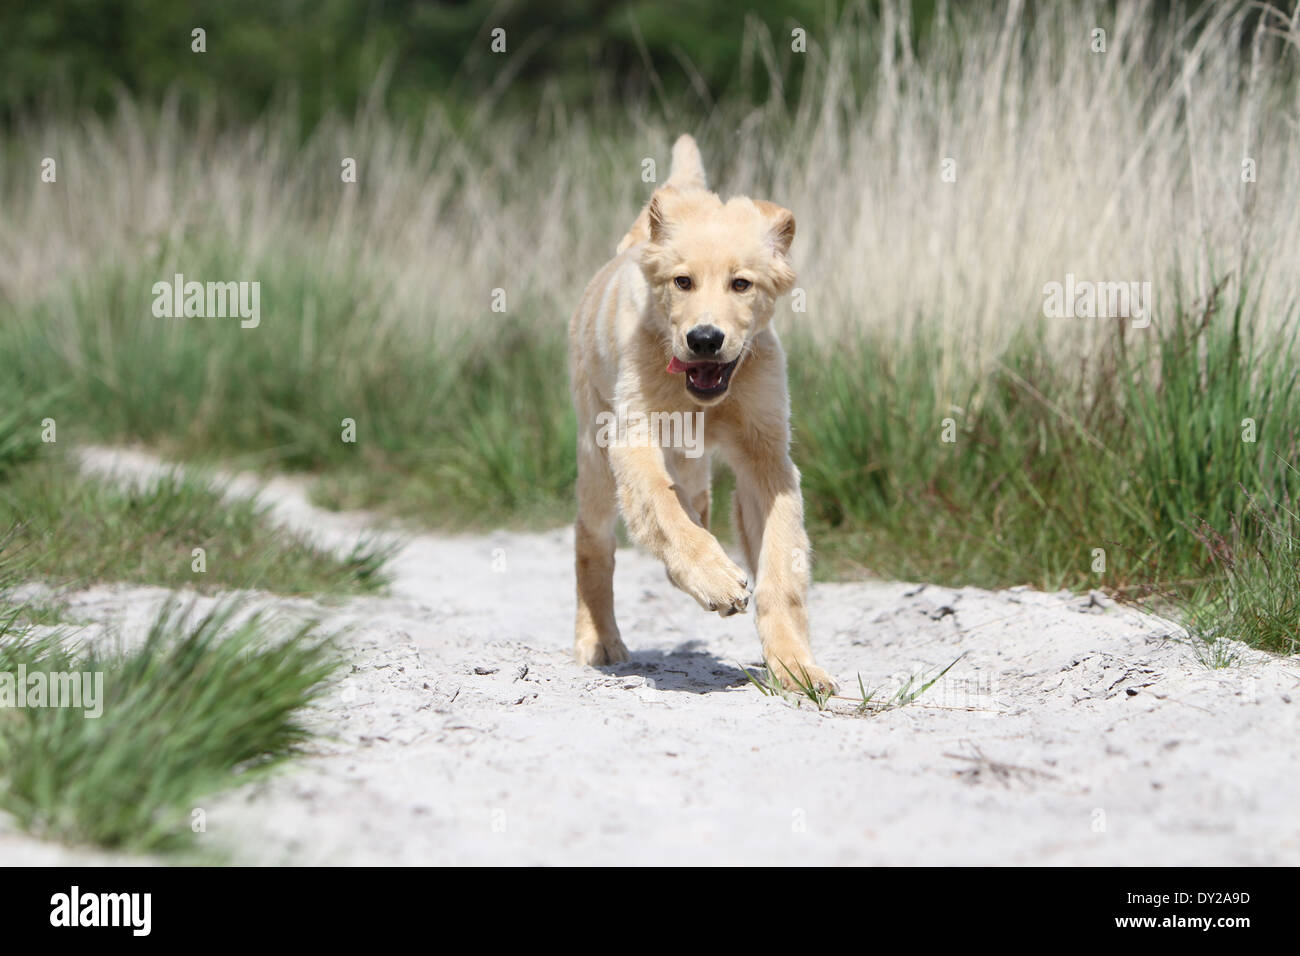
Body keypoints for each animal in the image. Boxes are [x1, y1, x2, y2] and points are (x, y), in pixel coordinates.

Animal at [566, 134, 832, 697]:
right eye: (682, 282)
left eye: (741, 284)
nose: (704, 339)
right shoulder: (632, 438)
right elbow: (662, 510)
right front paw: (713, 577)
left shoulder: (767, 457)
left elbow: (781, 566)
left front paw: (795, 665)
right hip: (595, 451)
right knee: (593, 541)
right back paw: (599, 639)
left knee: (695, 495)